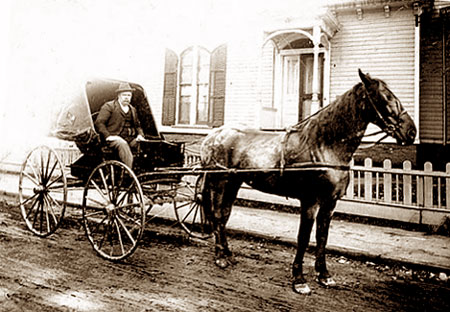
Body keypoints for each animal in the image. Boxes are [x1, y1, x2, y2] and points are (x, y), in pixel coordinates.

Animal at [199, 68, 416, 294]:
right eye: (385, 97)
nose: (411, 132)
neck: (324, 145)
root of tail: (212, 136)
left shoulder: (330, 203)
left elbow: (322, 237)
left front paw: (324, 274)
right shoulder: (310, 201)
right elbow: (303, 237)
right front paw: (299, 279)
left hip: (233, 183)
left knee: (224, 215)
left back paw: (227, 253)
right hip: (220, 183)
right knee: (217, 215)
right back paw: (220, 257)